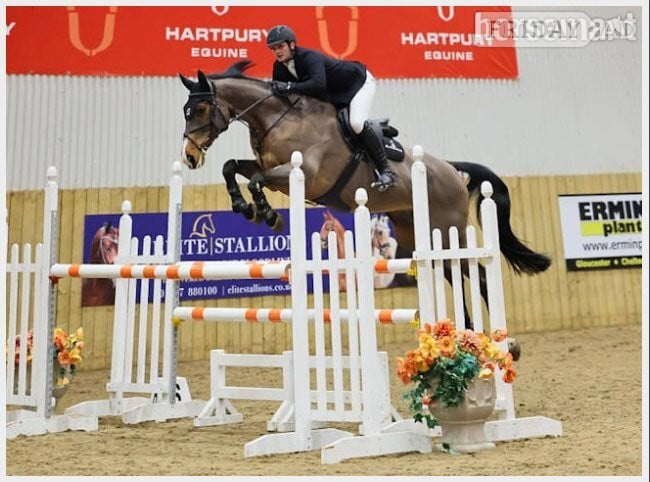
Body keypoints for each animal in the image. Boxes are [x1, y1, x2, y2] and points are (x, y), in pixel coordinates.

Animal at [179, 60, 551, 333]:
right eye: (186, 110)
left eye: (201, 109)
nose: (190, 158)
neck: (277, 119)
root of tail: (449, 168)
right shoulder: (269, 168)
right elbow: (232, 167)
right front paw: (246, 207)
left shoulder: (302, 174)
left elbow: (256, 179)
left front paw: (267, 215)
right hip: (418, 231)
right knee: (450, 273)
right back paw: (465, 333)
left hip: (450, 230)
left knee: (478, 274)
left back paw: (506, 344)